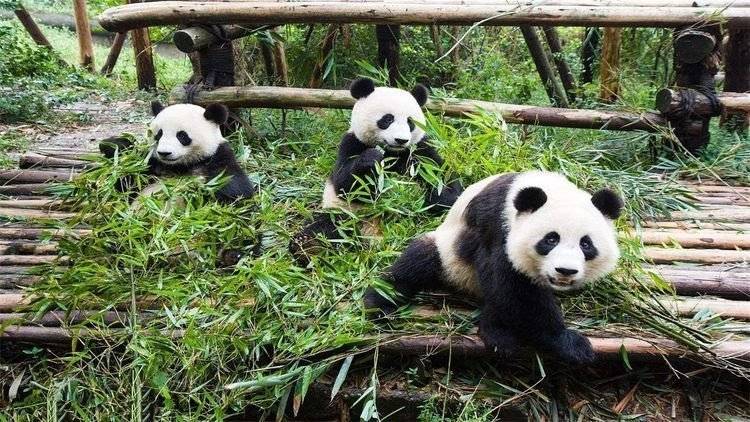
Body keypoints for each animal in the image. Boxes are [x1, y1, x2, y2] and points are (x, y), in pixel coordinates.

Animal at [99, 101, 255, 204]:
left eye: (182, 136)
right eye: (158, 134)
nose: (164, 153)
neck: (179, 166)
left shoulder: (217, 155)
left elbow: (235, 186)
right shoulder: (152, 164)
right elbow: (127, 179)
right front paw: (112, 145)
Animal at [289, 77, 463, 264]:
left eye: (410, 122)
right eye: (387, 119)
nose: (401, 140)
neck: (392, 152)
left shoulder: (420, 149)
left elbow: (442, 177)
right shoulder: (352, 142)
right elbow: (344, 184)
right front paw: (372, 159)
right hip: (345, 215)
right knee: (325, 227)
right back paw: (308, 247)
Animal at [364, 171, 623, 364]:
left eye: (586, 244)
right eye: (550, 239)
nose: (565, 271)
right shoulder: (497, 226)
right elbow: (513, 287)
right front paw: (570, 342)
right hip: (448, 255)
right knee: (415, 264)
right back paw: (378, 304)